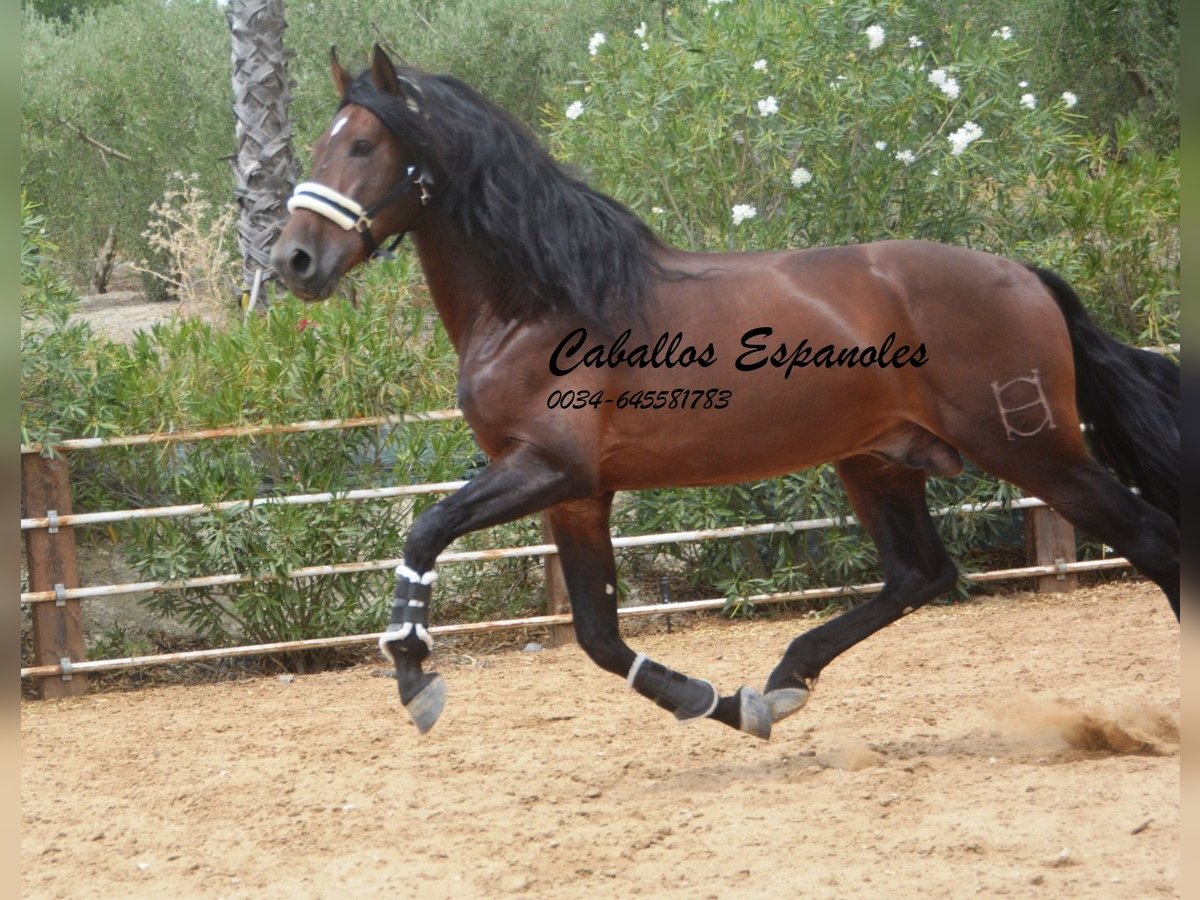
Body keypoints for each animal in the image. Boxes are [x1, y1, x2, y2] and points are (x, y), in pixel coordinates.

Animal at [267, 44, 1176, 739]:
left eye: (364, 146)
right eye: (323, 144)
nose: (293, 261)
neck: (540, 303)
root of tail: (1021, 272)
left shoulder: (546, 469)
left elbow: (423, 533)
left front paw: (414, 675)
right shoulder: (578, 496)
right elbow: (598, 637)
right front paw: (718, 704)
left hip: (1031, 448)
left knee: (1152, 539)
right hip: (879, 461)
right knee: (921, 573)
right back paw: (780, 681)